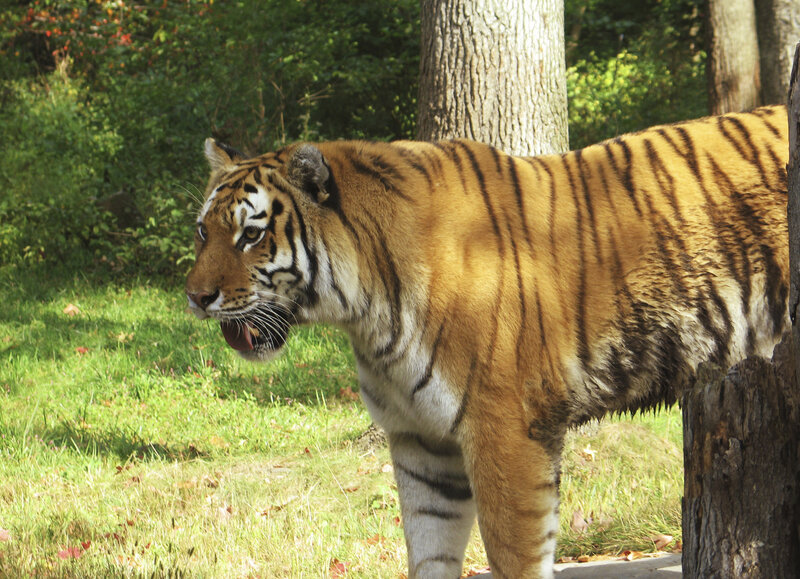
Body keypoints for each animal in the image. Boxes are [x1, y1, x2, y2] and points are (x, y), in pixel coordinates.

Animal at [185, 105, 790, 579]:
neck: (367, 314)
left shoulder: (505, 430)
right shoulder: (420, 442)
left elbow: (514, 556)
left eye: (252, 235)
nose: (194, 297)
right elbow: (428, 555)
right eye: (203, 231)